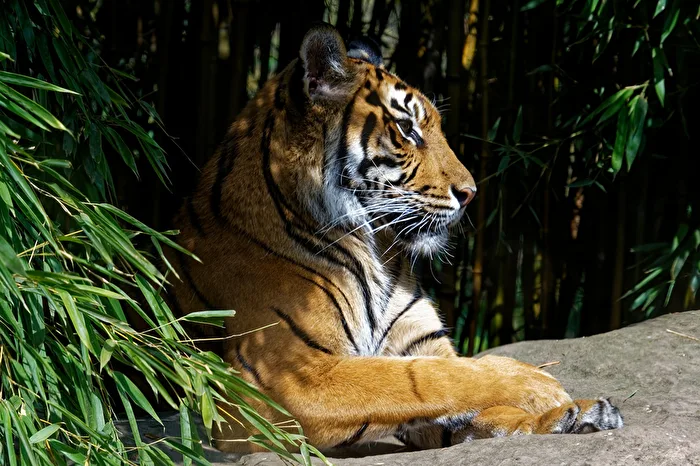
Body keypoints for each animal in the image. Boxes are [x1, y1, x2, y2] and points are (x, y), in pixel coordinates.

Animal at [164, 23, 623, 454]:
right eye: (407, 129)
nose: (471, 193)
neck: (375, 251)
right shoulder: (286, 377)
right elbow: (426, 378)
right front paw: (539, 384)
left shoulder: (418, 342)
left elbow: (462, 395)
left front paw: (571, 414)